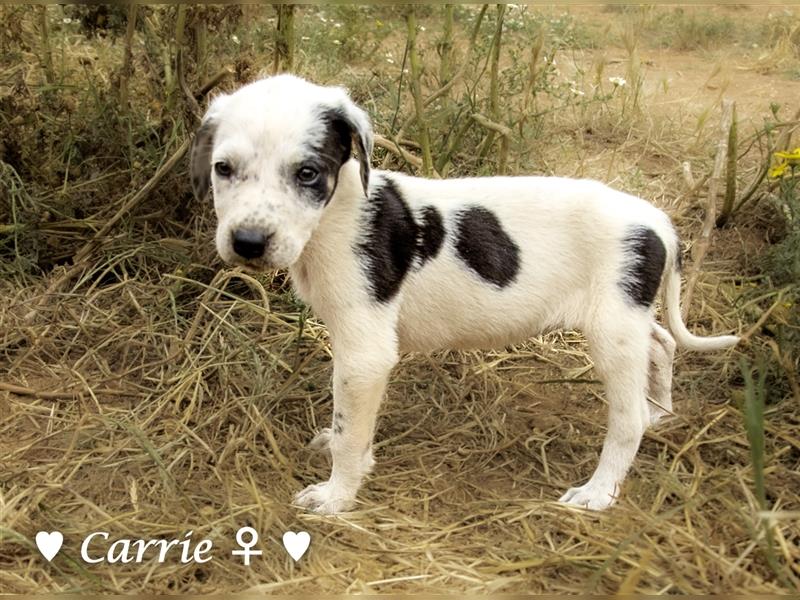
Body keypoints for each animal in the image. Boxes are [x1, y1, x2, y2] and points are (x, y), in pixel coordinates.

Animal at [191, 75, 740, 512]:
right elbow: (353, 424)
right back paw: (661, 412)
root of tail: (656, 220)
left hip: (613, 334)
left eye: (307, 173)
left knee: (628, 420)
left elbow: (350, 430)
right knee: (661, 344)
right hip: (628, 316)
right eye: (223, 169)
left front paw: (336, 496)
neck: (337, 215)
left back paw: (599, 490)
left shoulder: (366, 354)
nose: (248, 242)